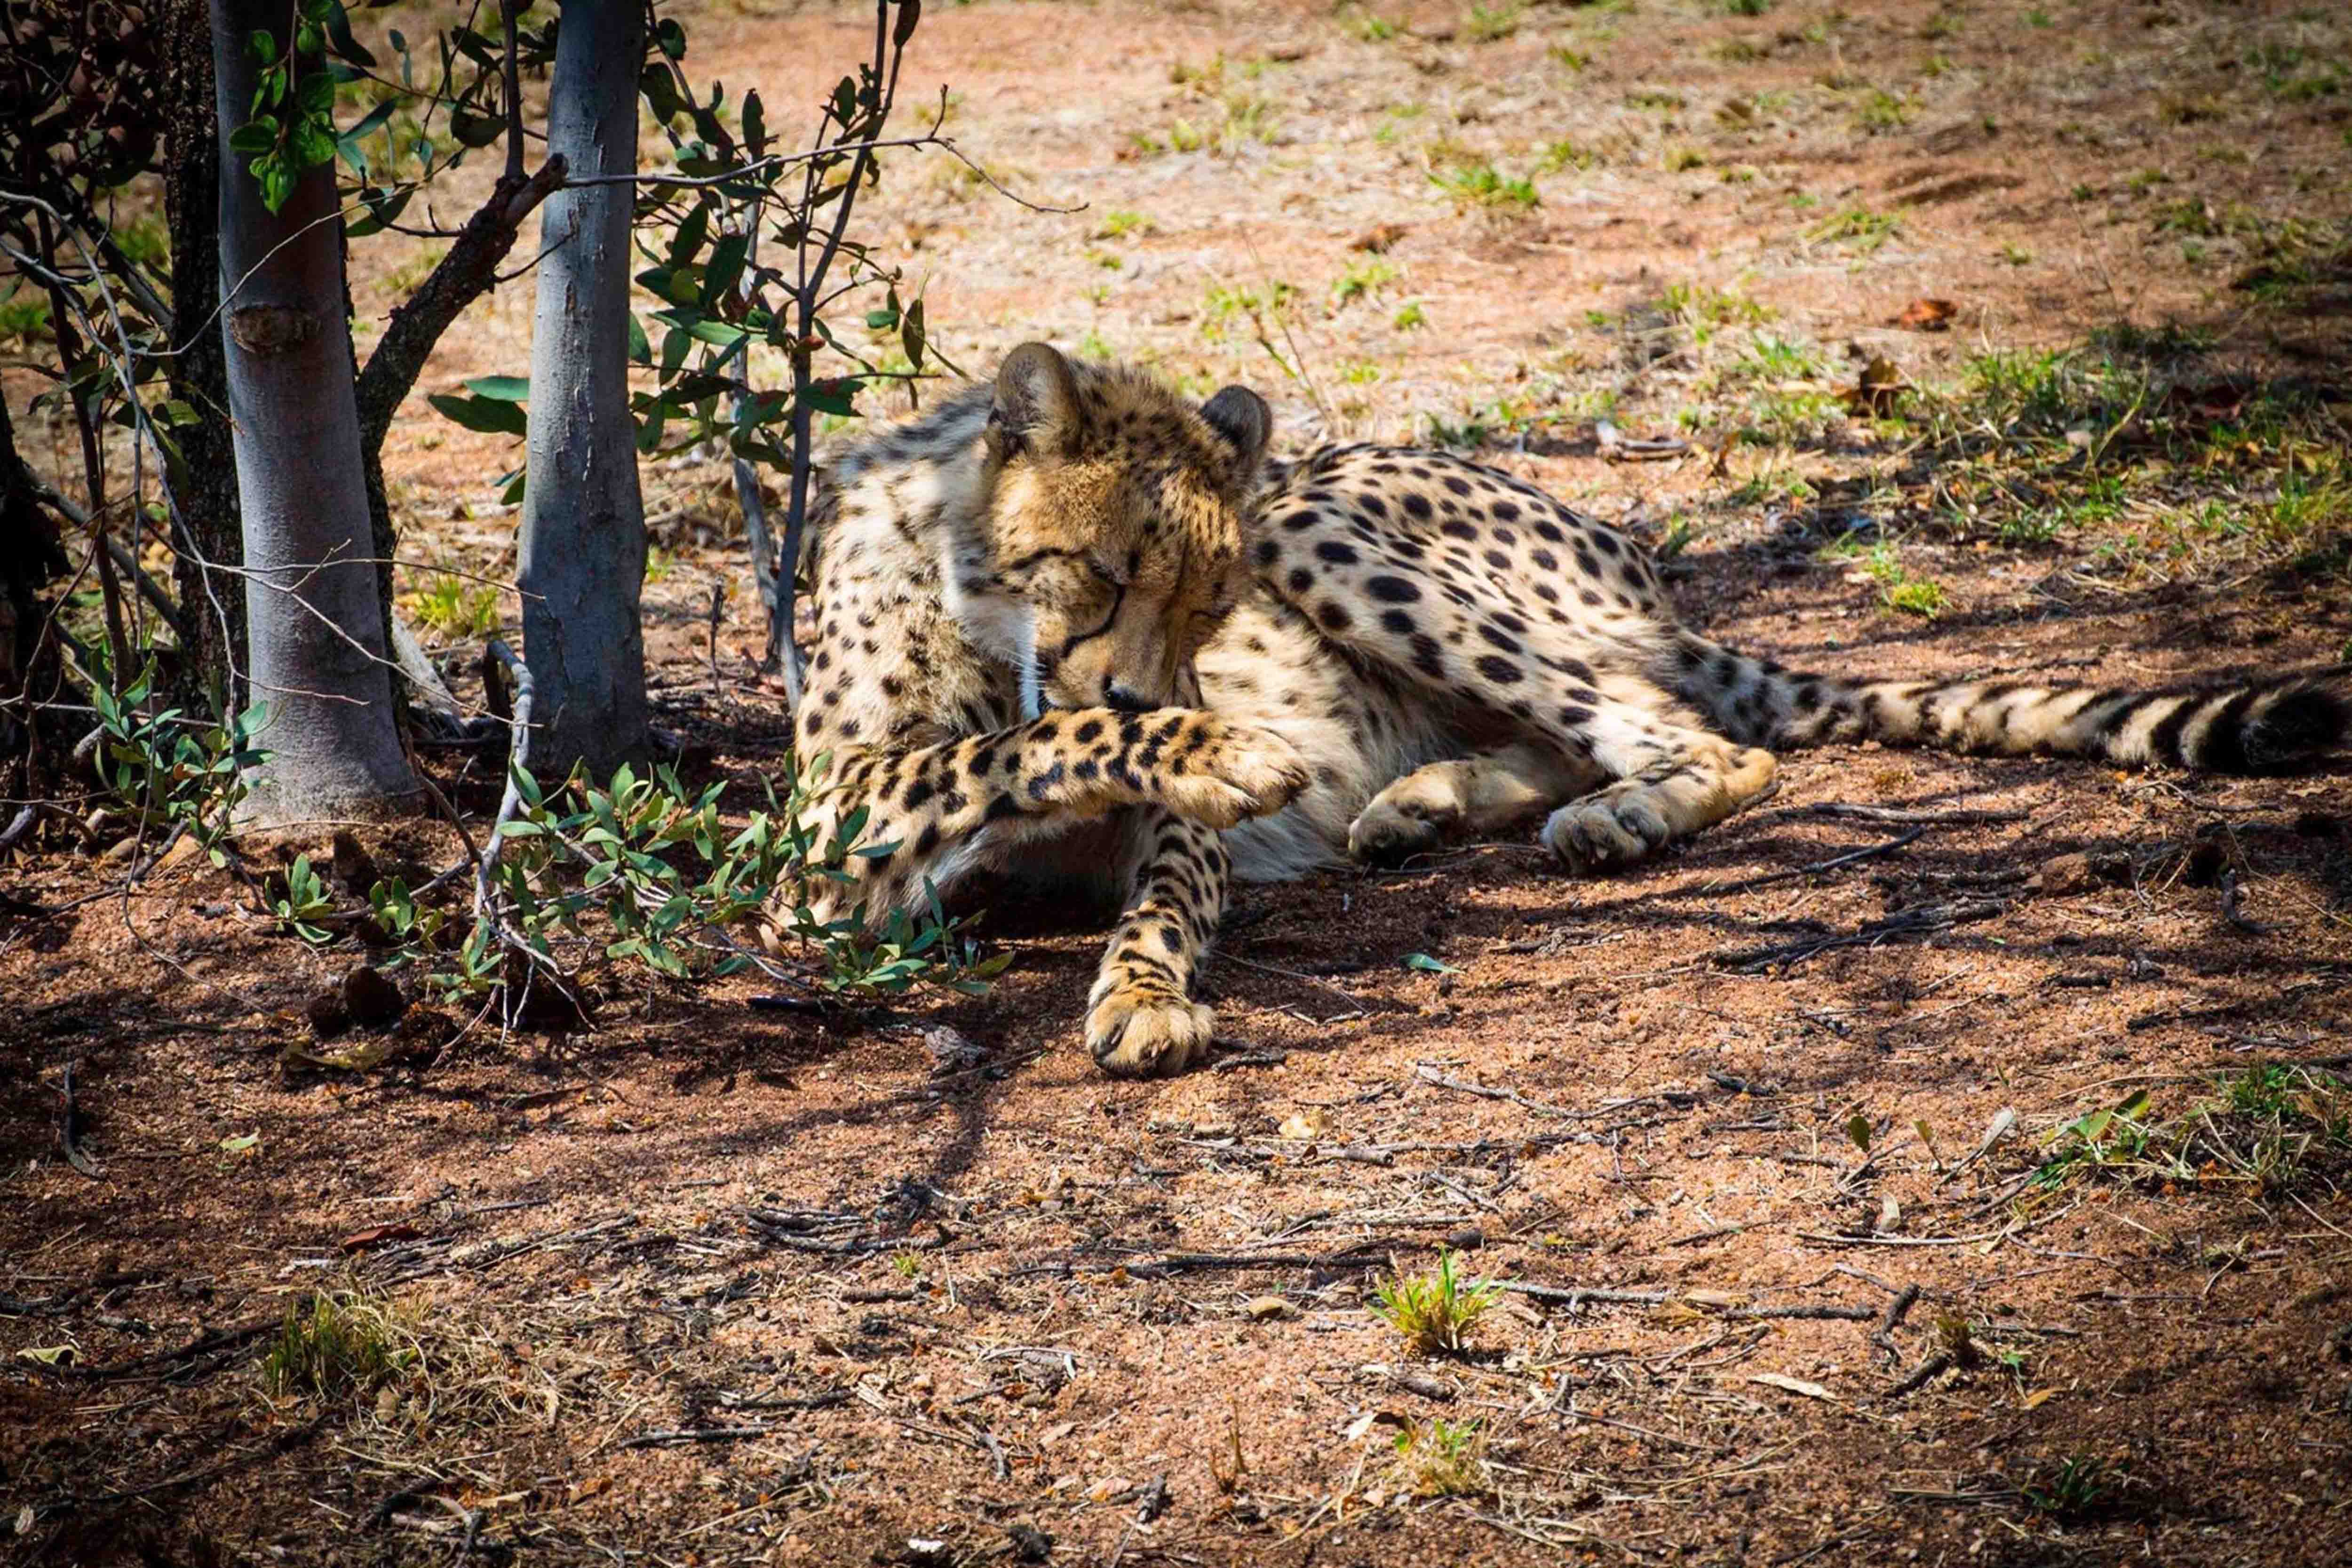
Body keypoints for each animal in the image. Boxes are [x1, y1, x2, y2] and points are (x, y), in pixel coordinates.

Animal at [769, 341, 2351, 1077]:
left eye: (1210, 608)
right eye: (1097, 583)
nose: (1169, 683)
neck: (972, 603)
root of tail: (1634, 555)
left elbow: (1147, 866)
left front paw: (1146, 991)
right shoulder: (811, 878)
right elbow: (1024, 740)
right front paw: (1208, 751)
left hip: (1327, 526)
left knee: (1696, 736)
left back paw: (1613, 817)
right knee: (1567, 729)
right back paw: (1422, 803)